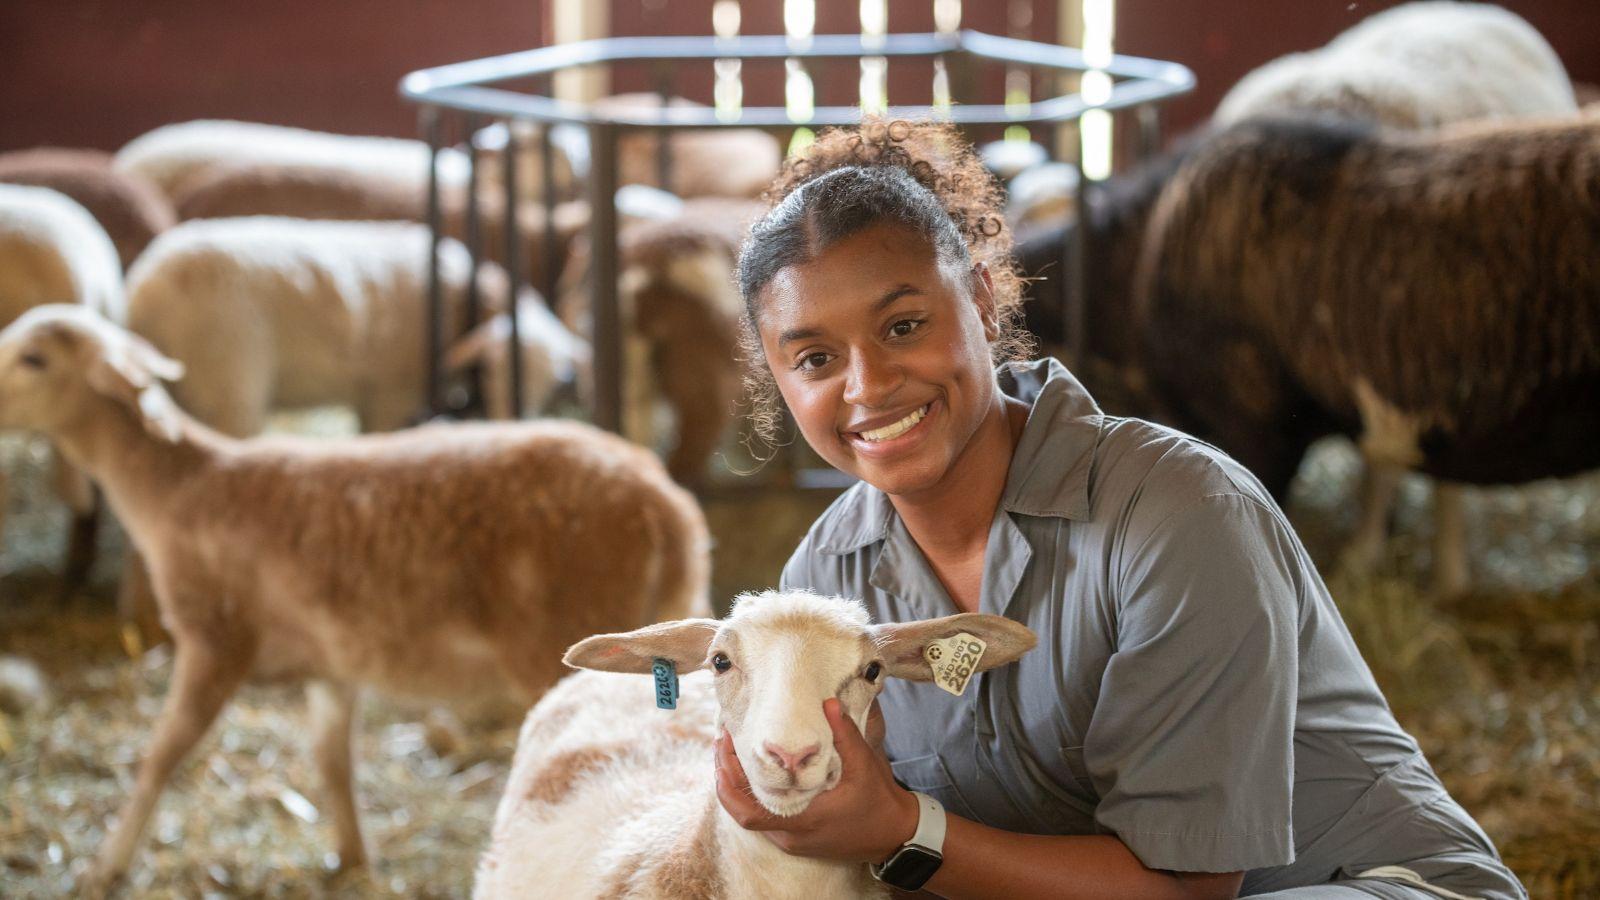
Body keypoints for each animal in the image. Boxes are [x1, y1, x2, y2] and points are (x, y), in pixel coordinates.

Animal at [0, 304, 712, 893]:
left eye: (34, 358)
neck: (178, 490)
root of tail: (668, 508)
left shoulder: (214, 640)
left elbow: (160, 755)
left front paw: (105, 867)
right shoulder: (331, 666)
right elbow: (333, 764)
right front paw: (352, 858)